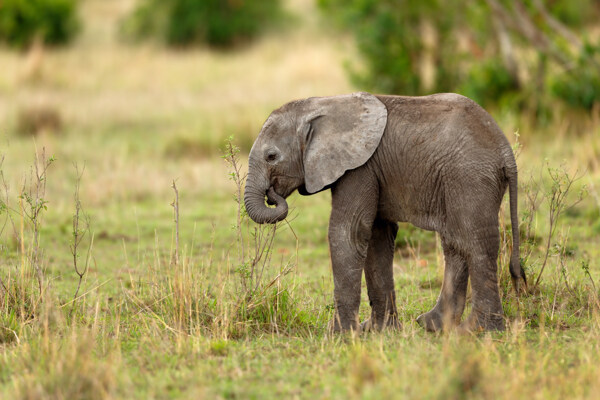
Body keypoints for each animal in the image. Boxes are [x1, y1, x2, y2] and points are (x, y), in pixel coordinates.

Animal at [243, 92, 524, 332]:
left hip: (471, 177)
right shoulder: (370, 170)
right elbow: (377, 238)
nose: (272, 194)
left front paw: (340, 334)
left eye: (271, 156)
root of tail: (506, 151)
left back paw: (476, 331)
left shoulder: (359, 168)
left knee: (475, 244)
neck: (321, 103)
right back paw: (432, 325)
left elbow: (348, 233)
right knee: (455, 243)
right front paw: (379, 331)